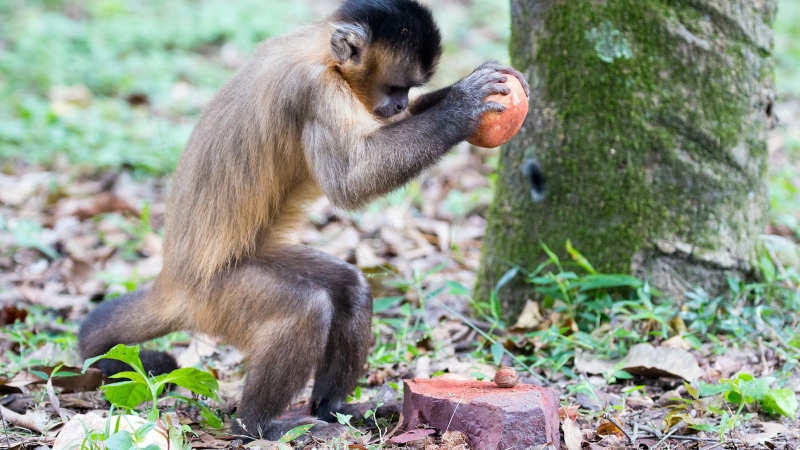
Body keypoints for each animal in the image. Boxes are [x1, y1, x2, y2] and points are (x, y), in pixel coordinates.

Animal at [78, 0, 528, 440]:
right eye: (396, 86)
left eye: (409, 91)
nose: (401, 104)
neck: (322, 54)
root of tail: (173, 281)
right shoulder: (316, 90)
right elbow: (352, 180)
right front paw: (462, 106)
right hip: (215, 299)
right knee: (306, 309)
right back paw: (256, 426)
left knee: (349, 288)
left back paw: (333, 408)